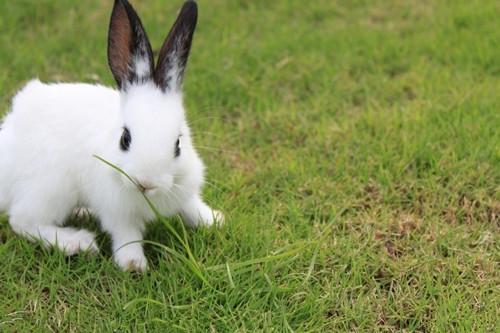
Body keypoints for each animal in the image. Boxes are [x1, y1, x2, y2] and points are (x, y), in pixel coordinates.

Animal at [0, 0, 223, 270]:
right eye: (125, 139)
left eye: (178, 144)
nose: (146, 182)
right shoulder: (118, 213)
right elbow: (127, 236)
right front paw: (134, 265)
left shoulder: (185, 192)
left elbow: (192, 208)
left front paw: (214, 220)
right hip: (51, 188)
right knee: (22, 220)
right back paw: (76, 242)